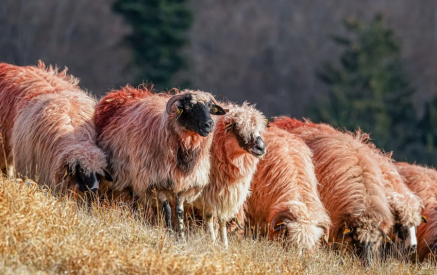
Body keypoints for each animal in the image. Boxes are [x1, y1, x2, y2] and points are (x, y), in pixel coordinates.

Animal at [94, 86, 227, 237]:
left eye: (209, 106)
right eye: (188, 107)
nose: (209, 125)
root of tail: (125, 92)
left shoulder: (184, 184)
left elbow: (179, 211)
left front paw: (181, 236)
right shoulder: (157, 181)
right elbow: (167, 210)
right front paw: (170, 234)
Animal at [192, 102, 268, 249]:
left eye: (259, 129)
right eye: (237, 127)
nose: (261, 148)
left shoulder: (225, 193)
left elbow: (222, 220)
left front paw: (224, 245)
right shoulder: (207, 193)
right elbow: (210, 217)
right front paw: (212, 241)